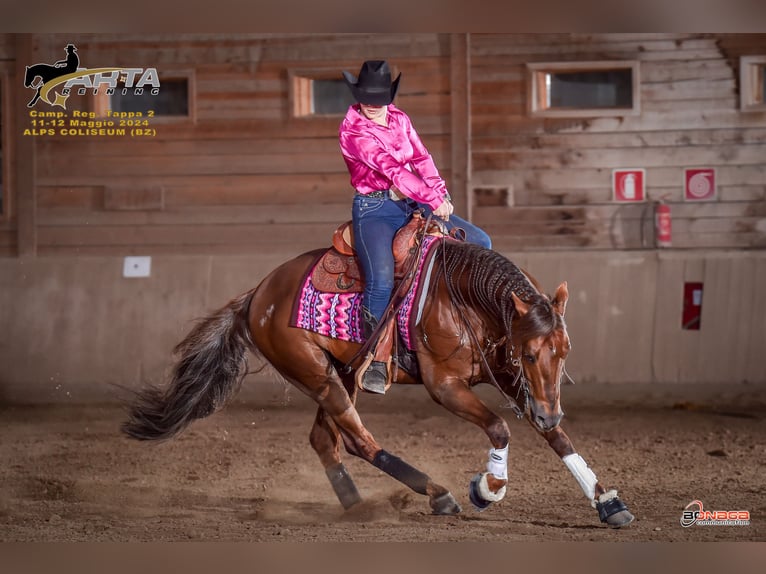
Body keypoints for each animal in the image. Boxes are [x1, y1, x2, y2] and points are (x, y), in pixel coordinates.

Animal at [121, 232, 636, 528]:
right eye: (530, 352)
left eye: (564, 352)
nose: (549, 412)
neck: (465, 296)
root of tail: (258, 295)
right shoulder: (446, 385)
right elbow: (499, 427)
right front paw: (487, 487)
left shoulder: (511, 378)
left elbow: (559, 440)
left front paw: (607, 503)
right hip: (318, 375)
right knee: (357, 440)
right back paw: (437, 494)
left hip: (342, 375)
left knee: (325, 440)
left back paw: (356, 503)